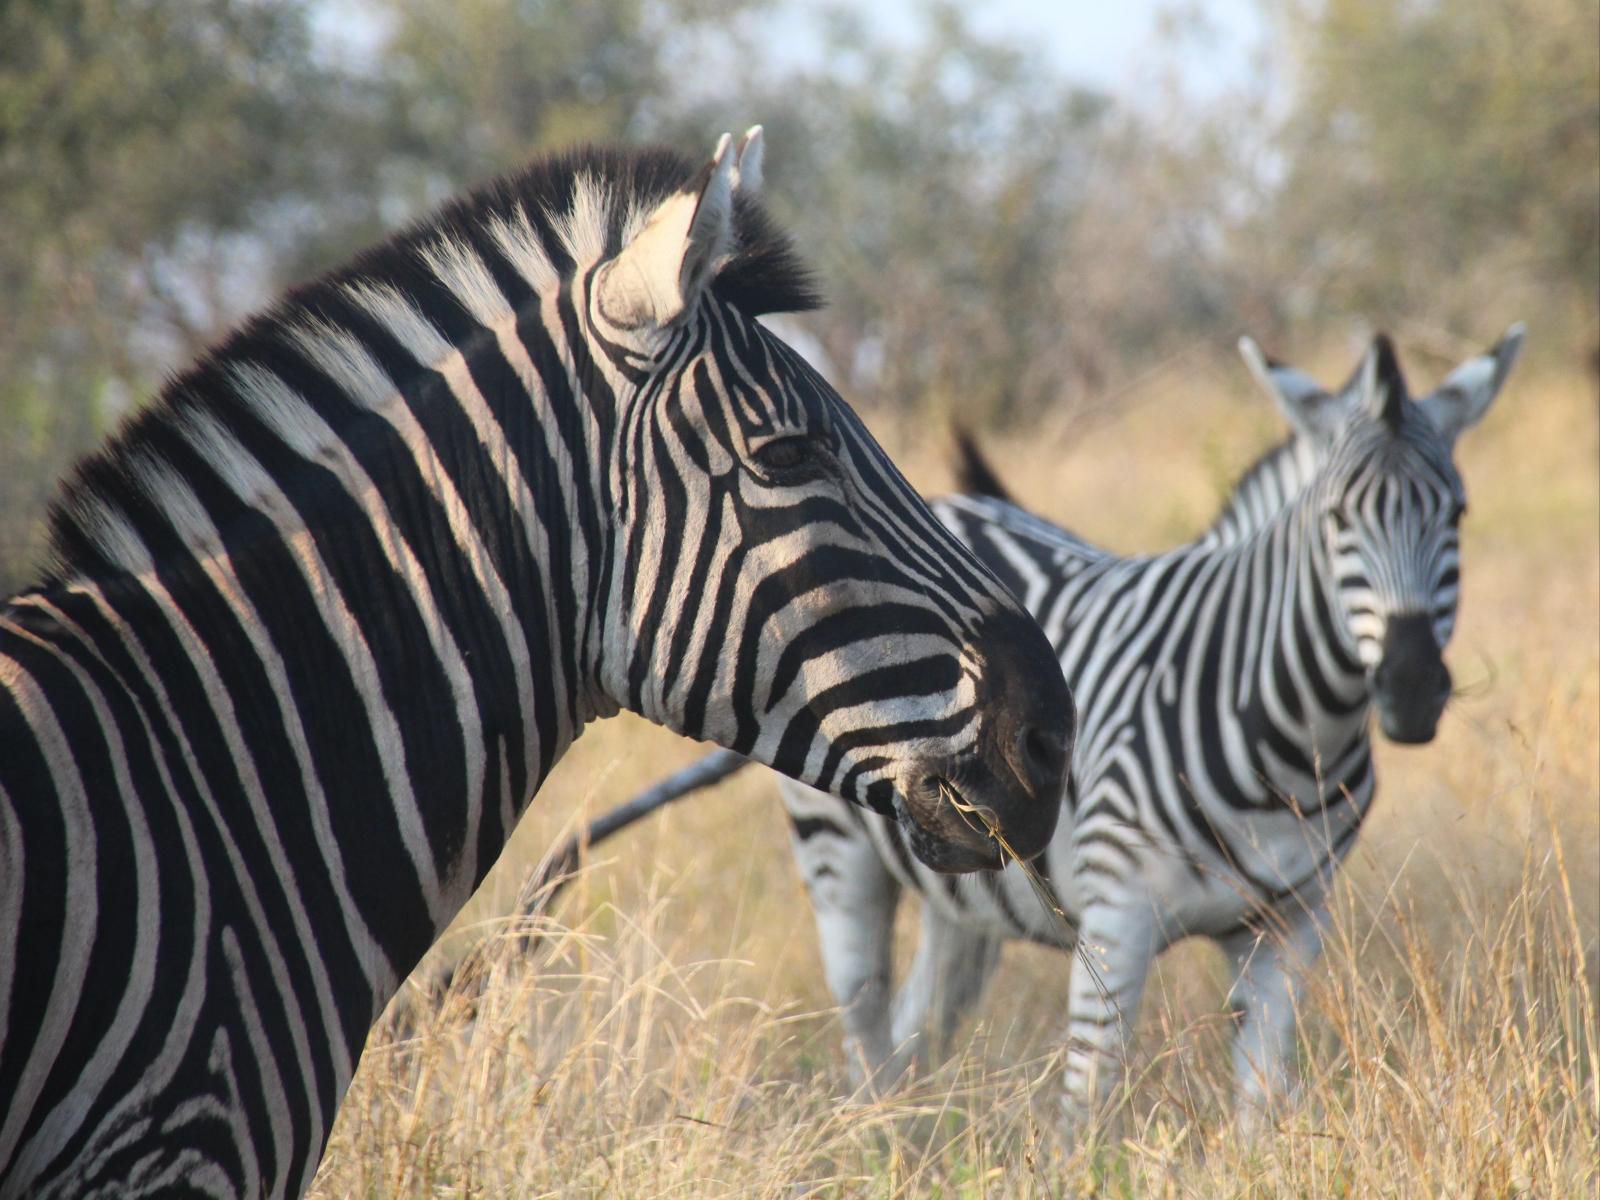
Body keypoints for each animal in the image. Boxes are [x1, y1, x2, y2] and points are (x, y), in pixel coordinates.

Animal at [540, 324, 1523, 1126]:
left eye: (1459, 514)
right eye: (1338, 520)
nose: (1410, 688)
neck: (1291, 735)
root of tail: (946, 503)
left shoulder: (1291, 928)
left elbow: (1261, 1109)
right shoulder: (1117, 921)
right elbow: (1087, 1117)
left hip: (961, 888)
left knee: (917, 1037)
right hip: (840, 856)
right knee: (865, 1037)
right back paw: (882, 1149)